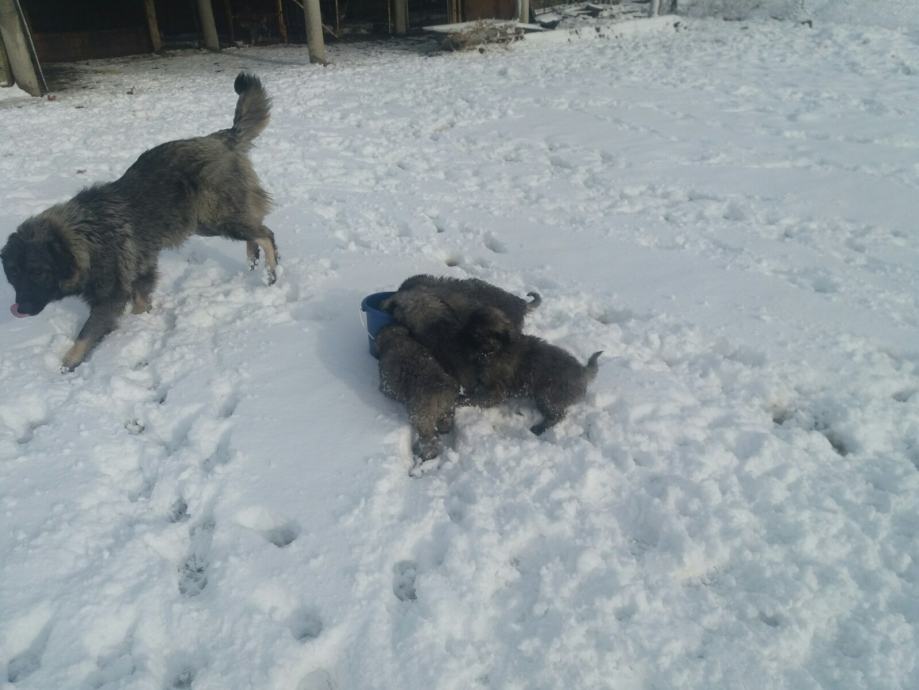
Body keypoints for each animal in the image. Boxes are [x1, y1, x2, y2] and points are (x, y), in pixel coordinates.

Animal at [1, 72, 278, 371]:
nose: (21, 309)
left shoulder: (110, 297)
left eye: (38, 272)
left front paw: (69, 363)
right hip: (208, 221)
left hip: (214, 218)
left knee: (266, 233)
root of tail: (221, 137)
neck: (84, 237)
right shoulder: (141, 271)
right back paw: (253, 260)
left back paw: (271, 272)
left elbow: (86, 334)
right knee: (255, 227)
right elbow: (140, 302)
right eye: (13, 273)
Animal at [376, 324, 460, 461]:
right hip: (448, 410)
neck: (395, 339)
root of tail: (440, 389)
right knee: (446, 422)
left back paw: (428, 454)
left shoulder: (388, 384)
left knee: (429, 439)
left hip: (421, 418)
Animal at [460, 306, 602, 435]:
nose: (460, 335)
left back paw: (540, 428)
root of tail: (583, 371)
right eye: (469, 324)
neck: (496, 349)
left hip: (547, 395)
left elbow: (474, 399)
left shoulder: (495, 392)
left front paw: (461, 399)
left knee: (558, 415)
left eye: (476, 334)